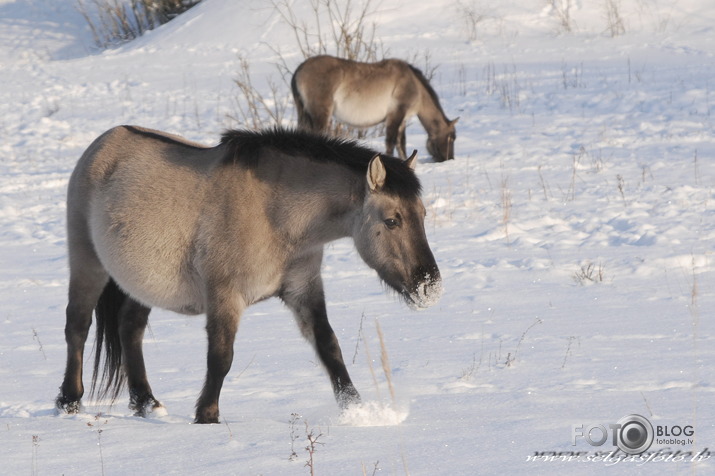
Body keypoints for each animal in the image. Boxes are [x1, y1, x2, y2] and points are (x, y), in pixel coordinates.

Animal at [56, 124, 442, 422]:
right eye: (392, 220)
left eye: (422, 214)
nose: (430, 287)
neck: (275, 214)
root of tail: (104, 141)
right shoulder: (226, 296)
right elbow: (221, 357)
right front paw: (207, 416)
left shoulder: (303, 289)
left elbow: (329, 347)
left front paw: (356, 410)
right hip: (88, 263)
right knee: (77, 326)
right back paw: (70, 401)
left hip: (142, 283)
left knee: (129, 330)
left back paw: (146, 403)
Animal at [290, 55, 458, 163]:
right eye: (451, 137)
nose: (449, 159)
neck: (414, 84)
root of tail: (299, 69)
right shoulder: (396, 114)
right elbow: (390, 142)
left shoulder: (402, 119)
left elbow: (401, 143)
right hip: (321, 113)